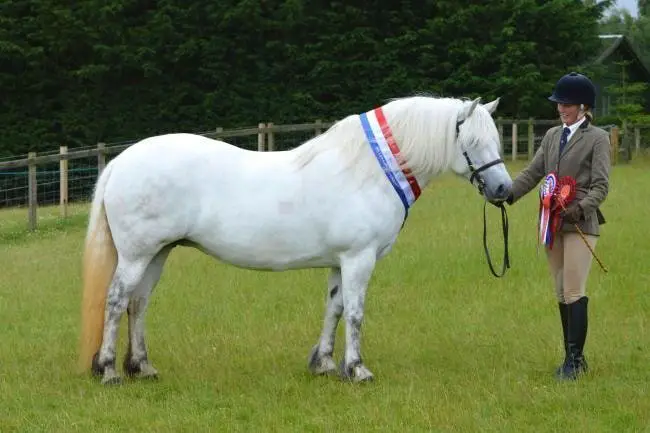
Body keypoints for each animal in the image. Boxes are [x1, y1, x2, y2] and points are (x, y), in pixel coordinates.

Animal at [77, 95, 512, 384]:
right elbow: (355, 313)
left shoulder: (340, 261)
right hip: (137, 255)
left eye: (497, 141)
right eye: (472, 143)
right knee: (116, 302)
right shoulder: (359, 258)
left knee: (138, 304)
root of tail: (121, 161)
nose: (503, 190)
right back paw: (110, 371)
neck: (369, 171)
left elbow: (334, 309)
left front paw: (324, 363)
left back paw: (142, 367)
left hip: (157, 253)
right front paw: (357, 370)